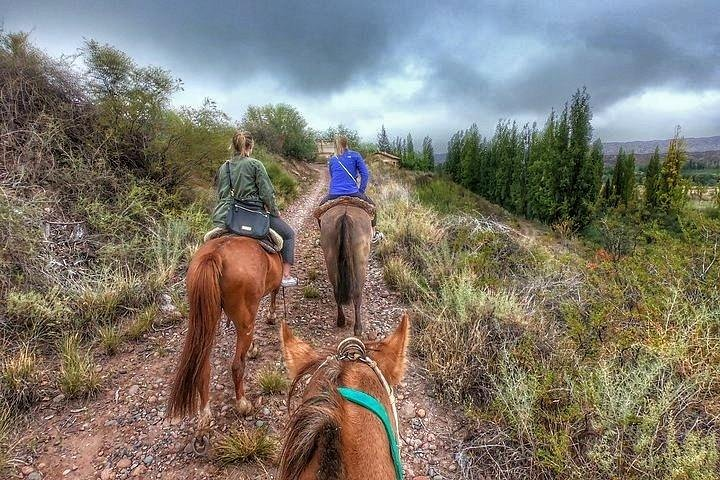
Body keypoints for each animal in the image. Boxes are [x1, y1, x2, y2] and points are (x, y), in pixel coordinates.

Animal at [168, 236, 282, 450]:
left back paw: (204, 424)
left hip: (207, 318)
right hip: (241, 317)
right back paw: (243, 404)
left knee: (203, 370)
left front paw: (253, 347)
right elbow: (274, 294)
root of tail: (216, 255)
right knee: (237, 365)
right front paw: (271, 317)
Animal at [322, 204, 374, 336]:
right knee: (357, 294)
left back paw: (341, 320)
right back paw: (357, 328)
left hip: (331, 260)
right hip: (360, 263)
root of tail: (344, 216)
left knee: (336, 291)